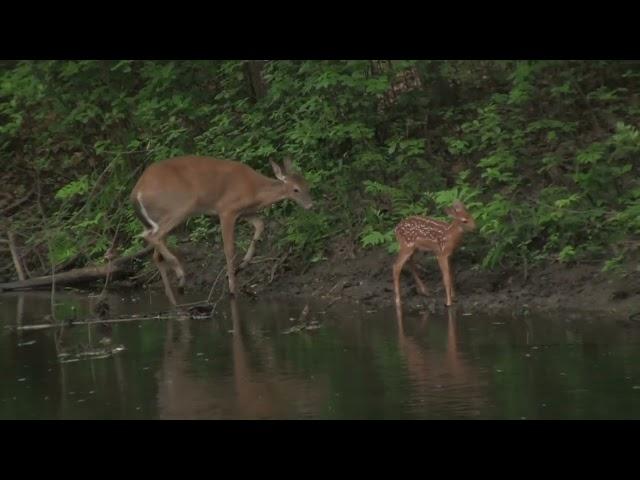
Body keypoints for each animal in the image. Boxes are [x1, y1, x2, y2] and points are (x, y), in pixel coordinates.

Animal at [130, 156, 312, 306]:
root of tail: (137, 192)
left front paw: (242, 265)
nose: (311, 205)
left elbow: (260, 224)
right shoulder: (226, 209)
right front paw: (232, 288)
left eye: (306, 184)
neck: (253, 190)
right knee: (153, 236)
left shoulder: (244, 212)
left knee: (156, 254)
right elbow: (229, 249)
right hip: (179, 207)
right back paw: (181, 278)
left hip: (157, 219)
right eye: (296, 189)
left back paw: (173, 299)